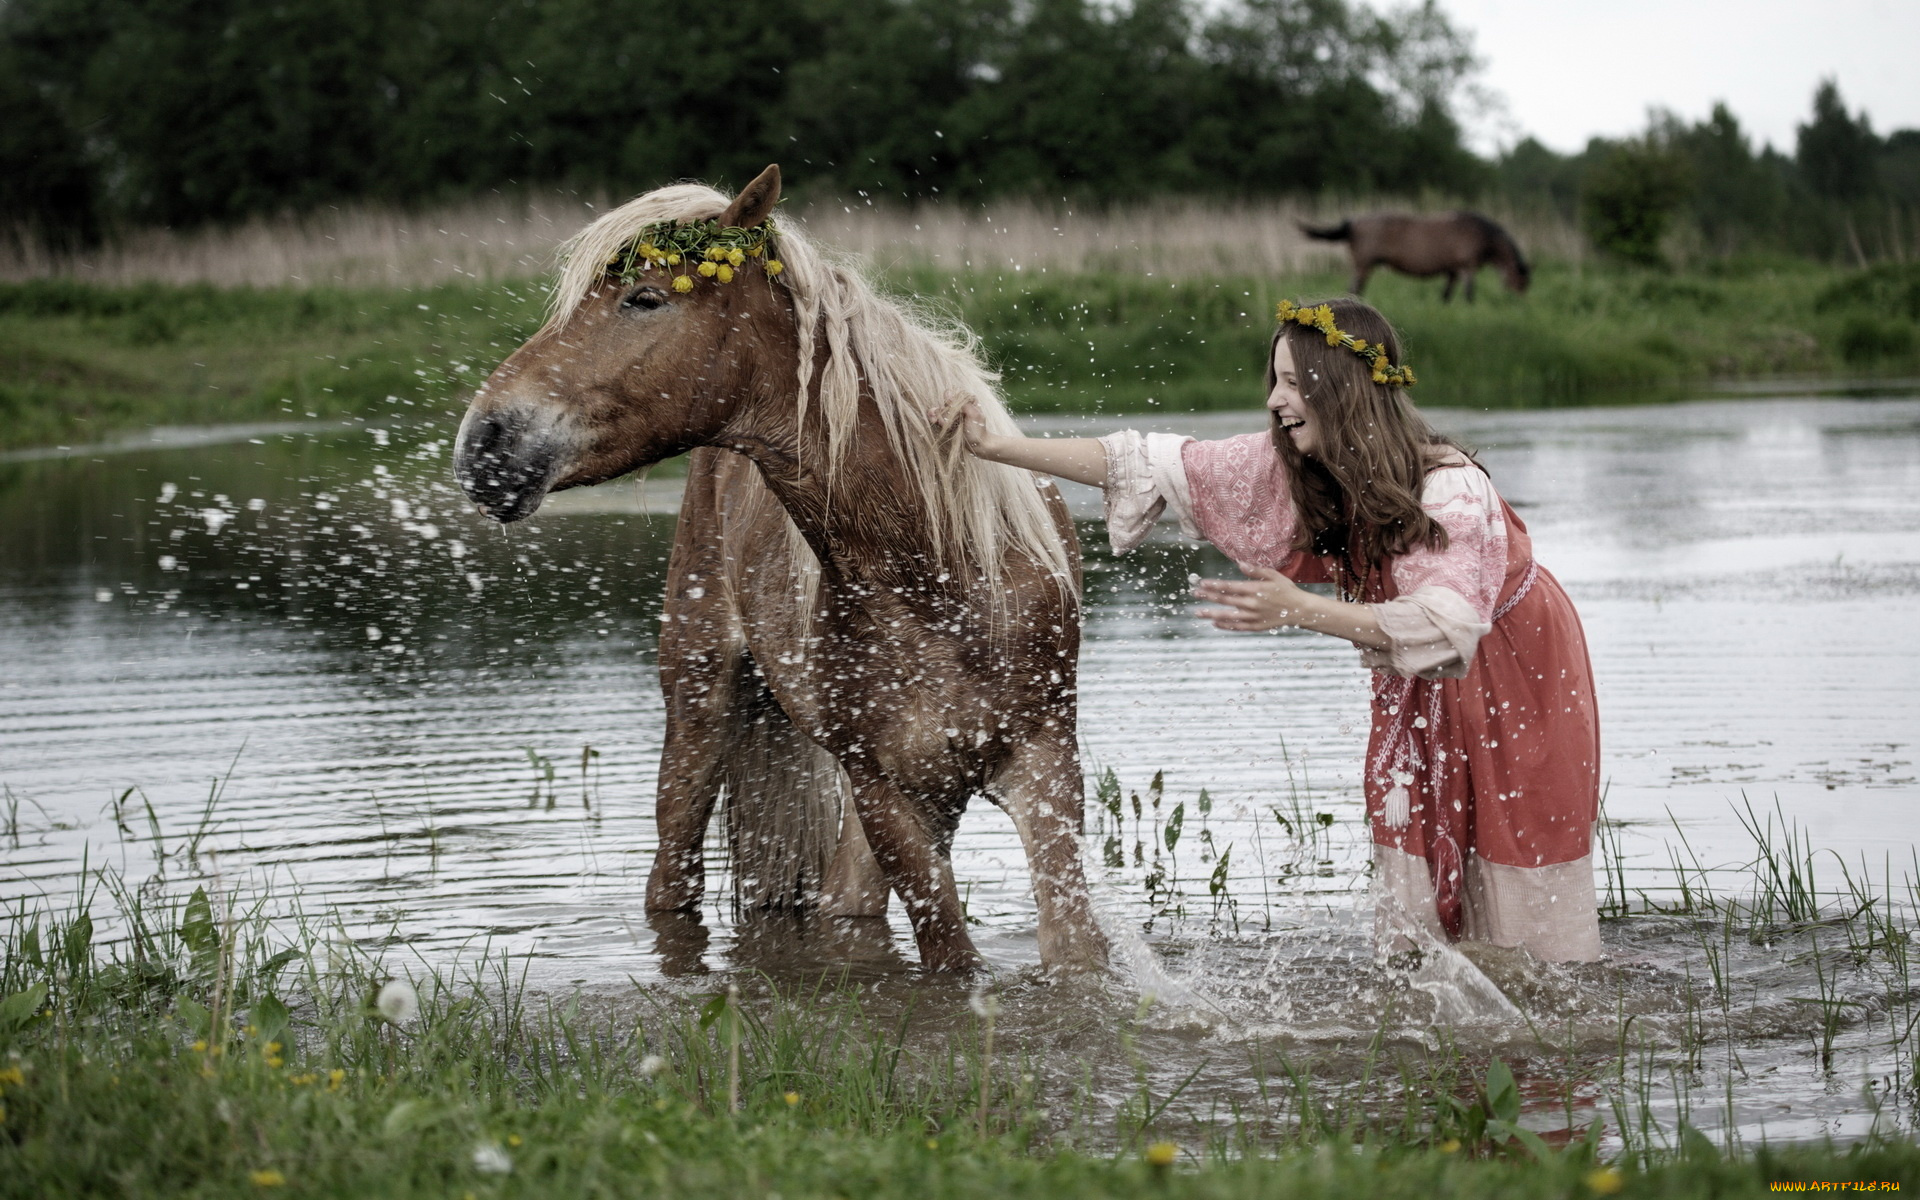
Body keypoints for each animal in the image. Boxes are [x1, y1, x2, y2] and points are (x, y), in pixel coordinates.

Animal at [453, 166, 1113, 975]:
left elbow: (1072, 954)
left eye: (645, 298)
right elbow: (951, 955)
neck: (940, 573)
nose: (484, 442)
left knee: (837, 904)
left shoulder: (1044, 769)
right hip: (702, 712)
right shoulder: (888, 795)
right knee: (674, 881)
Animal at [1297, 209, 1536, 297]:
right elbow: (1469, 295)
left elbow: (1446, 296)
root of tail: (1352, 223)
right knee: (1354, 289)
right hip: (1363, 266)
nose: (1519, 301)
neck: (1481, 234)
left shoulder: (1453, 271)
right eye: (1522, 283)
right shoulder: (1466, 268)